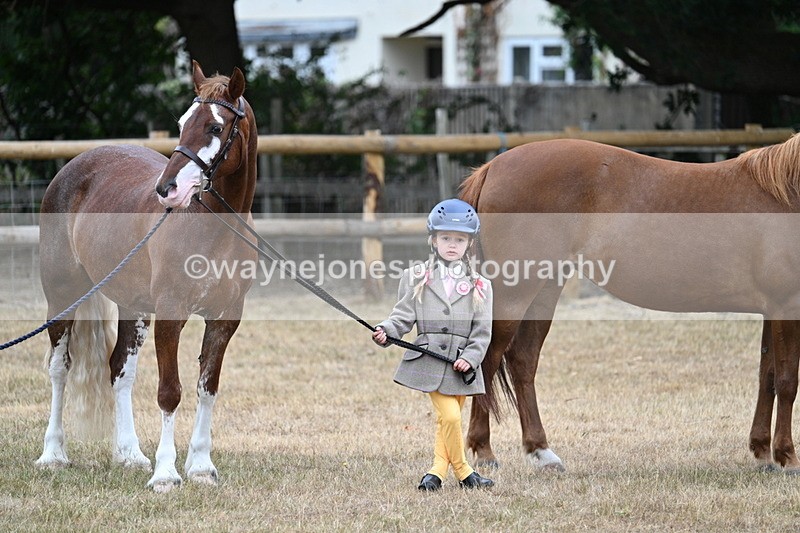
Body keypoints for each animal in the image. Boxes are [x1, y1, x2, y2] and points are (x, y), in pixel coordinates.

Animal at [36, 61, 258, 492]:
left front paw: (201, 467)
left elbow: (207, 388)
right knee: (60, 368)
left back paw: (129, 455)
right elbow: (170, 392)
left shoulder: (225, 319)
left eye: (215, 126)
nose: (167, 189)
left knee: (120, 371)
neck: (212, 230)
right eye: (183, 122)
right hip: (62, 296)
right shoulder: (171, 315)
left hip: (132, 306)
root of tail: (75, 166)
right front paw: (166, 475)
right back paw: (53, 455)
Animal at [458, 134, 800, 473]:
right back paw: (484, 451)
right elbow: (787, 381)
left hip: (544, 290)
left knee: (523, 359)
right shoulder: (787, 307)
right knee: (488, 358)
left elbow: (768, 377)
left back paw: (542, 452)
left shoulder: (773, 309)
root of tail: (493, 167)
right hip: (515, 294)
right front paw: (788, 457)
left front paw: (763, 452)